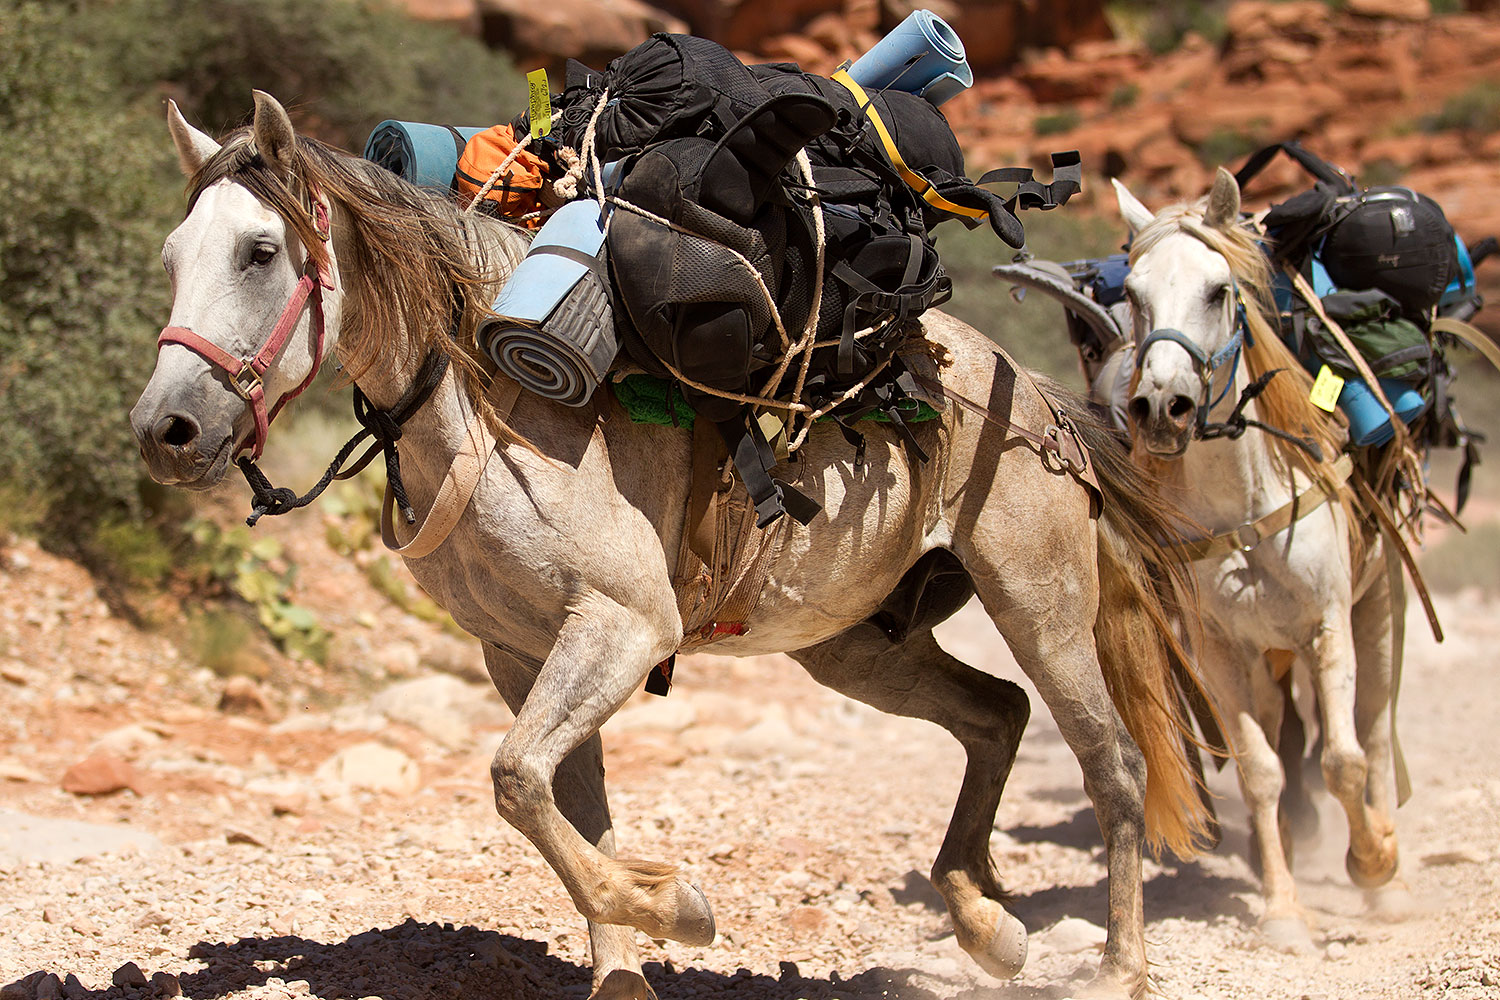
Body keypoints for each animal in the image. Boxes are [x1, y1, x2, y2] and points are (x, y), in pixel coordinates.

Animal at [131, 90, 1213, 1000]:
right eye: (173, 259)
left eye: (259, 251)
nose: (165, 430)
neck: (494, 408)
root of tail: (1033, 397)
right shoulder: (519, 652)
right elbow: (562, 801)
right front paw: (627, 957)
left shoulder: (622, 626)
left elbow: (517, 781)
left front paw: (679, 906)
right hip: (855, 643)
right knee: (994, 715)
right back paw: (988, 923)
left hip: (1040, 605)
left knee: (1113, 761)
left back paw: (1117, 968)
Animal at [1109, 168, 1405, 950]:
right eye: (1133, 294)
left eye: (1219, 290)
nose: (1163, 407)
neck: (1242, 508)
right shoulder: (1221, 653)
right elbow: (1262, 773)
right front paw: (1281, 908)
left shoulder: (1329, 627)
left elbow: (1343, 761)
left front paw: (1372, 861)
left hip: (1380, 613)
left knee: (1374, 733)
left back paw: (1387, 875)